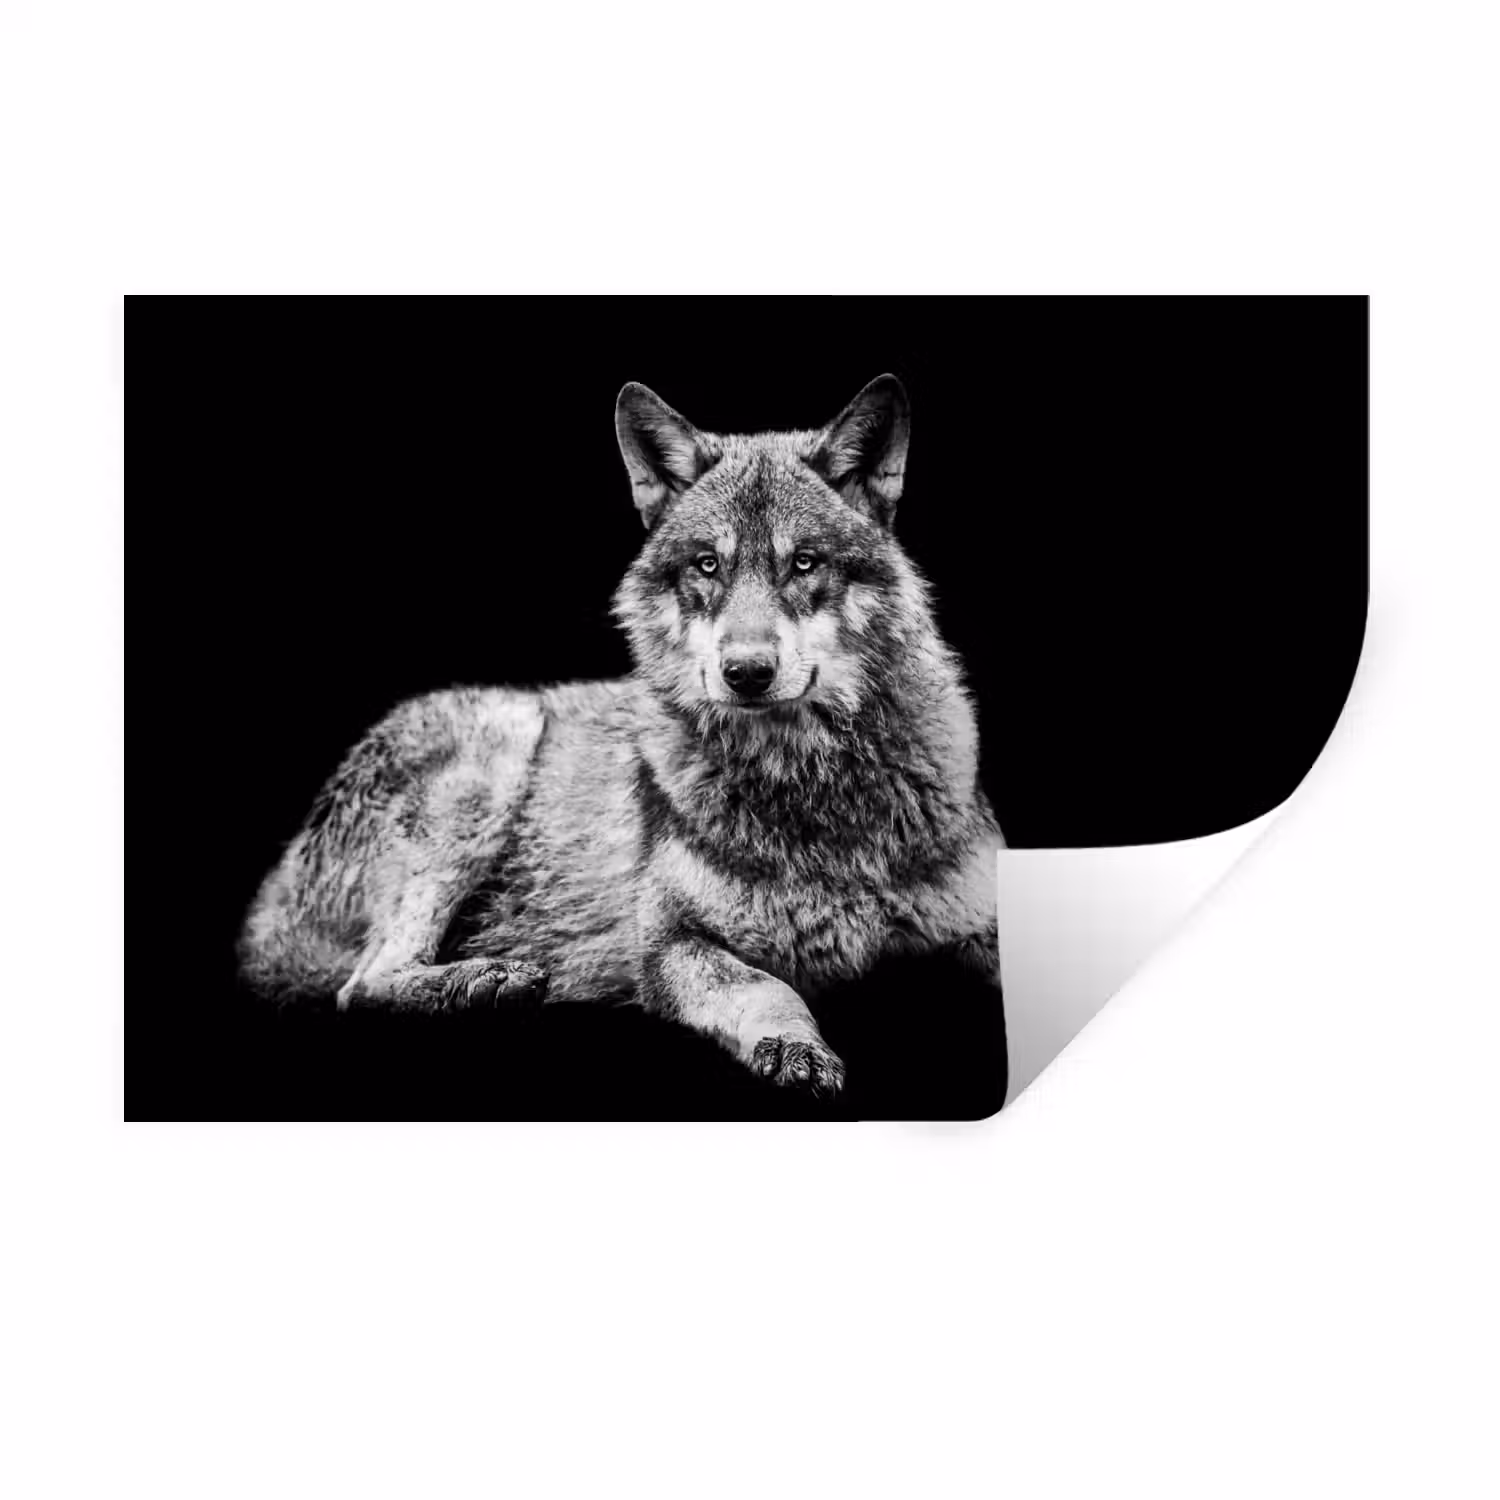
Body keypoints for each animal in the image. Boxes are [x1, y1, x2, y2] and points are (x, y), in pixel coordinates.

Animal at [238, 375, 1004, 1098]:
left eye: (804, 563)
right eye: (707, 566)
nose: (746, 673)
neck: (811, 785)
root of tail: (276, 890)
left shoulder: (984, 920)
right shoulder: (668, 945)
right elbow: (767, 987)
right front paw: (794, 1049)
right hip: (501, 743)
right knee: (361, 984)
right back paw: (484, 982)